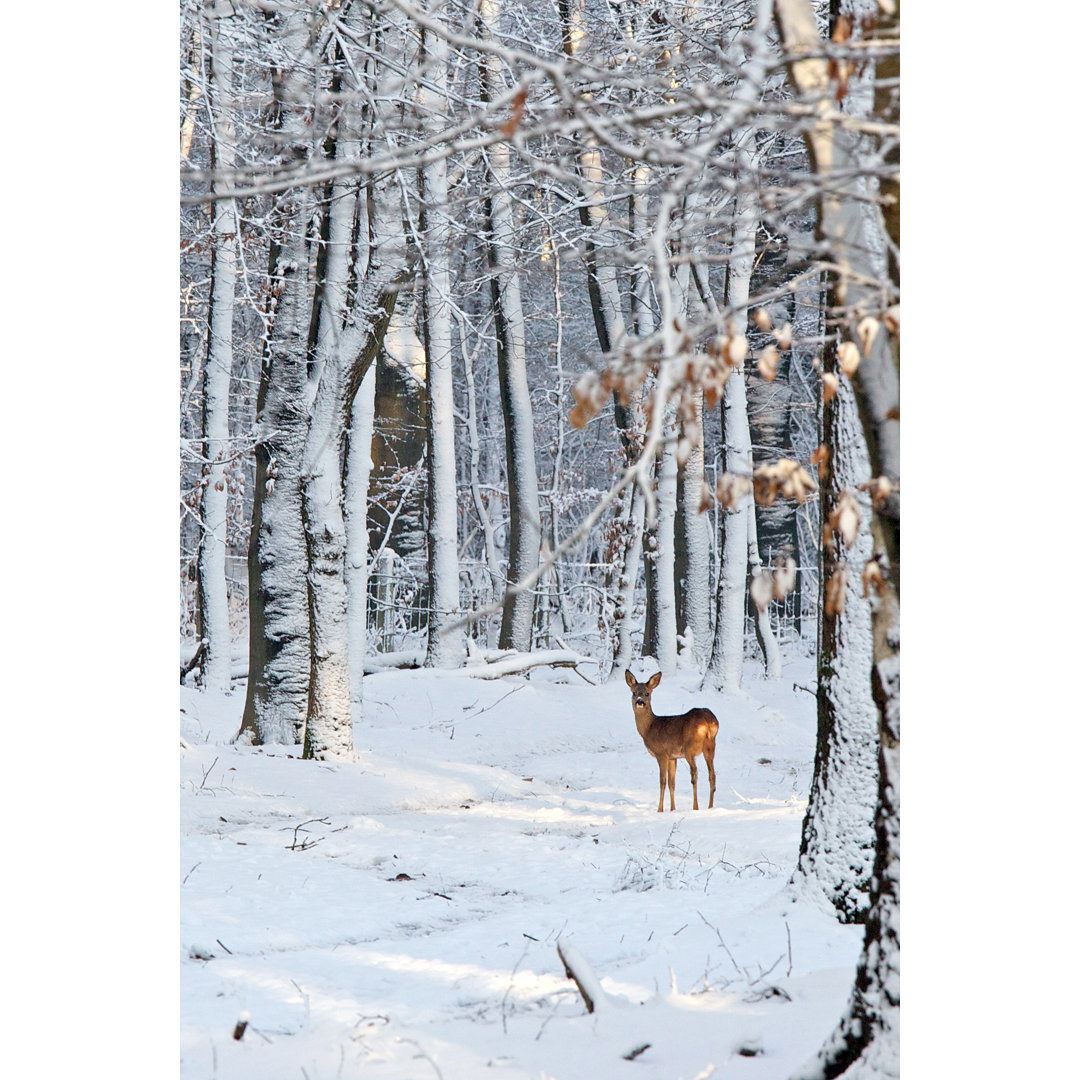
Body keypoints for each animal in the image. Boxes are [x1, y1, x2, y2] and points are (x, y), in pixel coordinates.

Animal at [626, 669, 717, 812]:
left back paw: (695, 807)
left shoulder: (661, 753)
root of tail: (710, 722)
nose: (640, 702)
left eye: (647, 693)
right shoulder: (672, 757)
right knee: (712, 775)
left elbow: (662, 782)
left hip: (689, 749)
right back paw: (710, 806)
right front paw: (673, 809)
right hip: (710, 746)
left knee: (695, 774)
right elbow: (672, 783)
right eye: (634, 693)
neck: (649, 728)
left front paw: (660, 810)